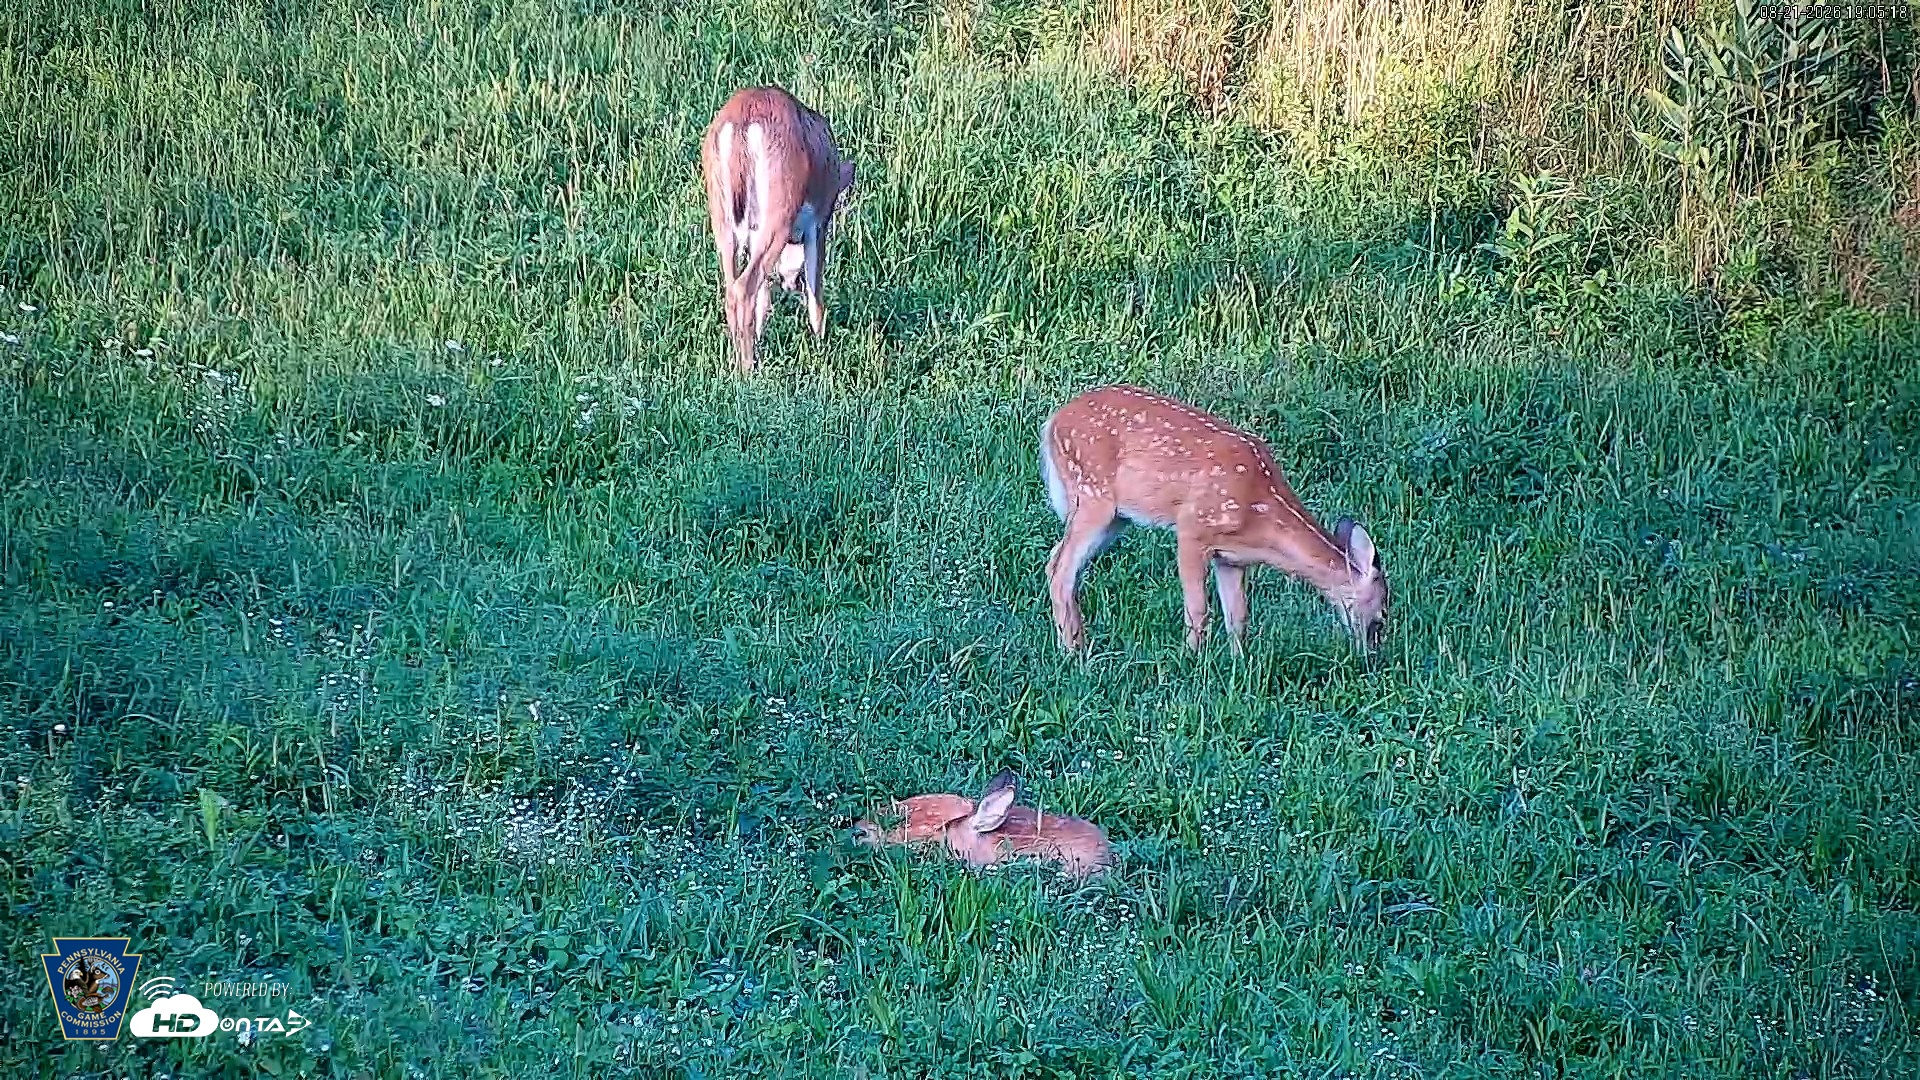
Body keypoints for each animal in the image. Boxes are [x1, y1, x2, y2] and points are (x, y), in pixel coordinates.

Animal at [701, 86, 856, 372]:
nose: (791, 284)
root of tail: (742, 122)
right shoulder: (818, 222)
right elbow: (815, 290)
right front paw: (820, 347)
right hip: (779, 209)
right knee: (744, 288)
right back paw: (748, 368)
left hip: (722, 216)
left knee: (733, 287)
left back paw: (739, 359)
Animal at [1040, 385, 1389, 655]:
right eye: (1382, 617)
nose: (1371, 656)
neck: (1261, 517)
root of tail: (1052, 422)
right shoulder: (1192, 529)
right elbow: (1199, 610)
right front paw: (1192, 662)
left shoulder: (1232, 559)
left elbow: (1238, 617)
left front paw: (1239, 664)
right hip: (1092, 495)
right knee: (1060, 568)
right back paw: (1074, 652)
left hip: (1115, 517)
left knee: (1057, 559)